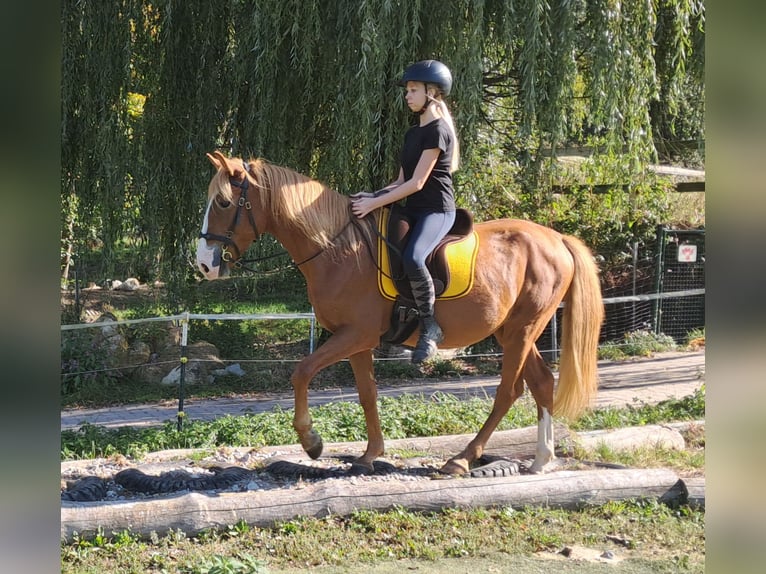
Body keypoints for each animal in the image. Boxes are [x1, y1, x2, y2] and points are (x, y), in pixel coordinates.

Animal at [195, 151, 604, 474]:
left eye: (224, 204)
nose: (204, 265)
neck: (338, 249)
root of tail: (556, 238)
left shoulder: (354, 335)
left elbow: (302, 372)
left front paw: (312, 441)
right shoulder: (357, 342)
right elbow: (367, 394)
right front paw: (370, 454)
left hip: (522, 329)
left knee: (509, 390)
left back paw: (462, 458)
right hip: (513, 330)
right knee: (540, 383)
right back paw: (541, 460)